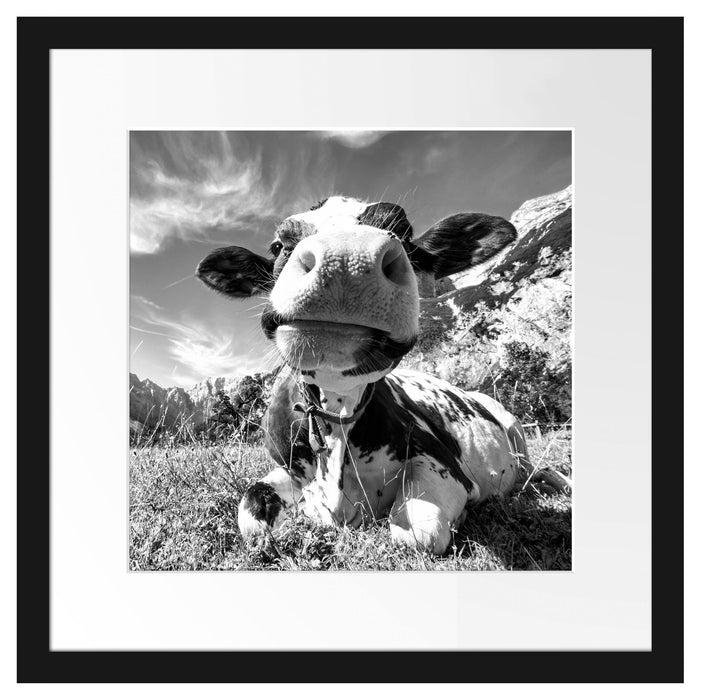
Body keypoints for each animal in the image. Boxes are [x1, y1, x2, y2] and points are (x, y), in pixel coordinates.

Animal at [196, 196, 561, 554]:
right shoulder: (285, 468)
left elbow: (418, 534)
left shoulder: (443, 461)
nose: (346, 259)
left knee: (535, 469)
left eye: (404, 233)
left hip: (514, 428)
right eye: (277, 245)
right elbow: (251, 514)